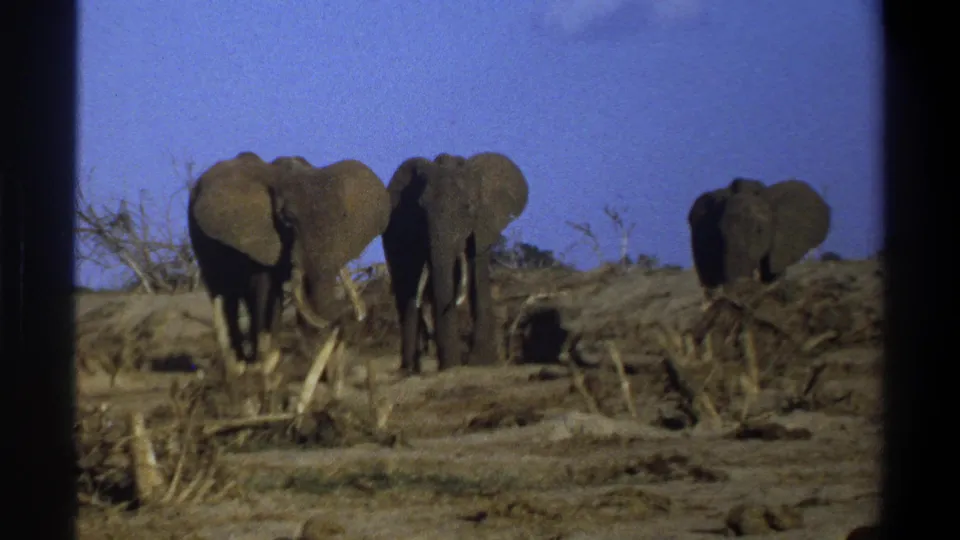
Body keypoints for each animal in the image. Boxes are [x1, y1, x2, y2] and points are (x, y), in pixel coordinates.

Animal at [188, 151, 391, 378]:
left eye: (342, 218)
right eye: (288, 220)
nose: (352, 316)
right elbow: (264, 287)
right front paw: (260, 366)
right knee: (225, 296)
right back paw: (242, 364)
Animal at [381, 152, 529, 374]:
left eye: (467, 208)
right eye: (421, 209)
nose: (451, 366)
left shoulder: (483, 224)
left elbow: (477, 271)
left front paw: (482, 361)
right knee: (406, 291)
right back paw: (409, 368)